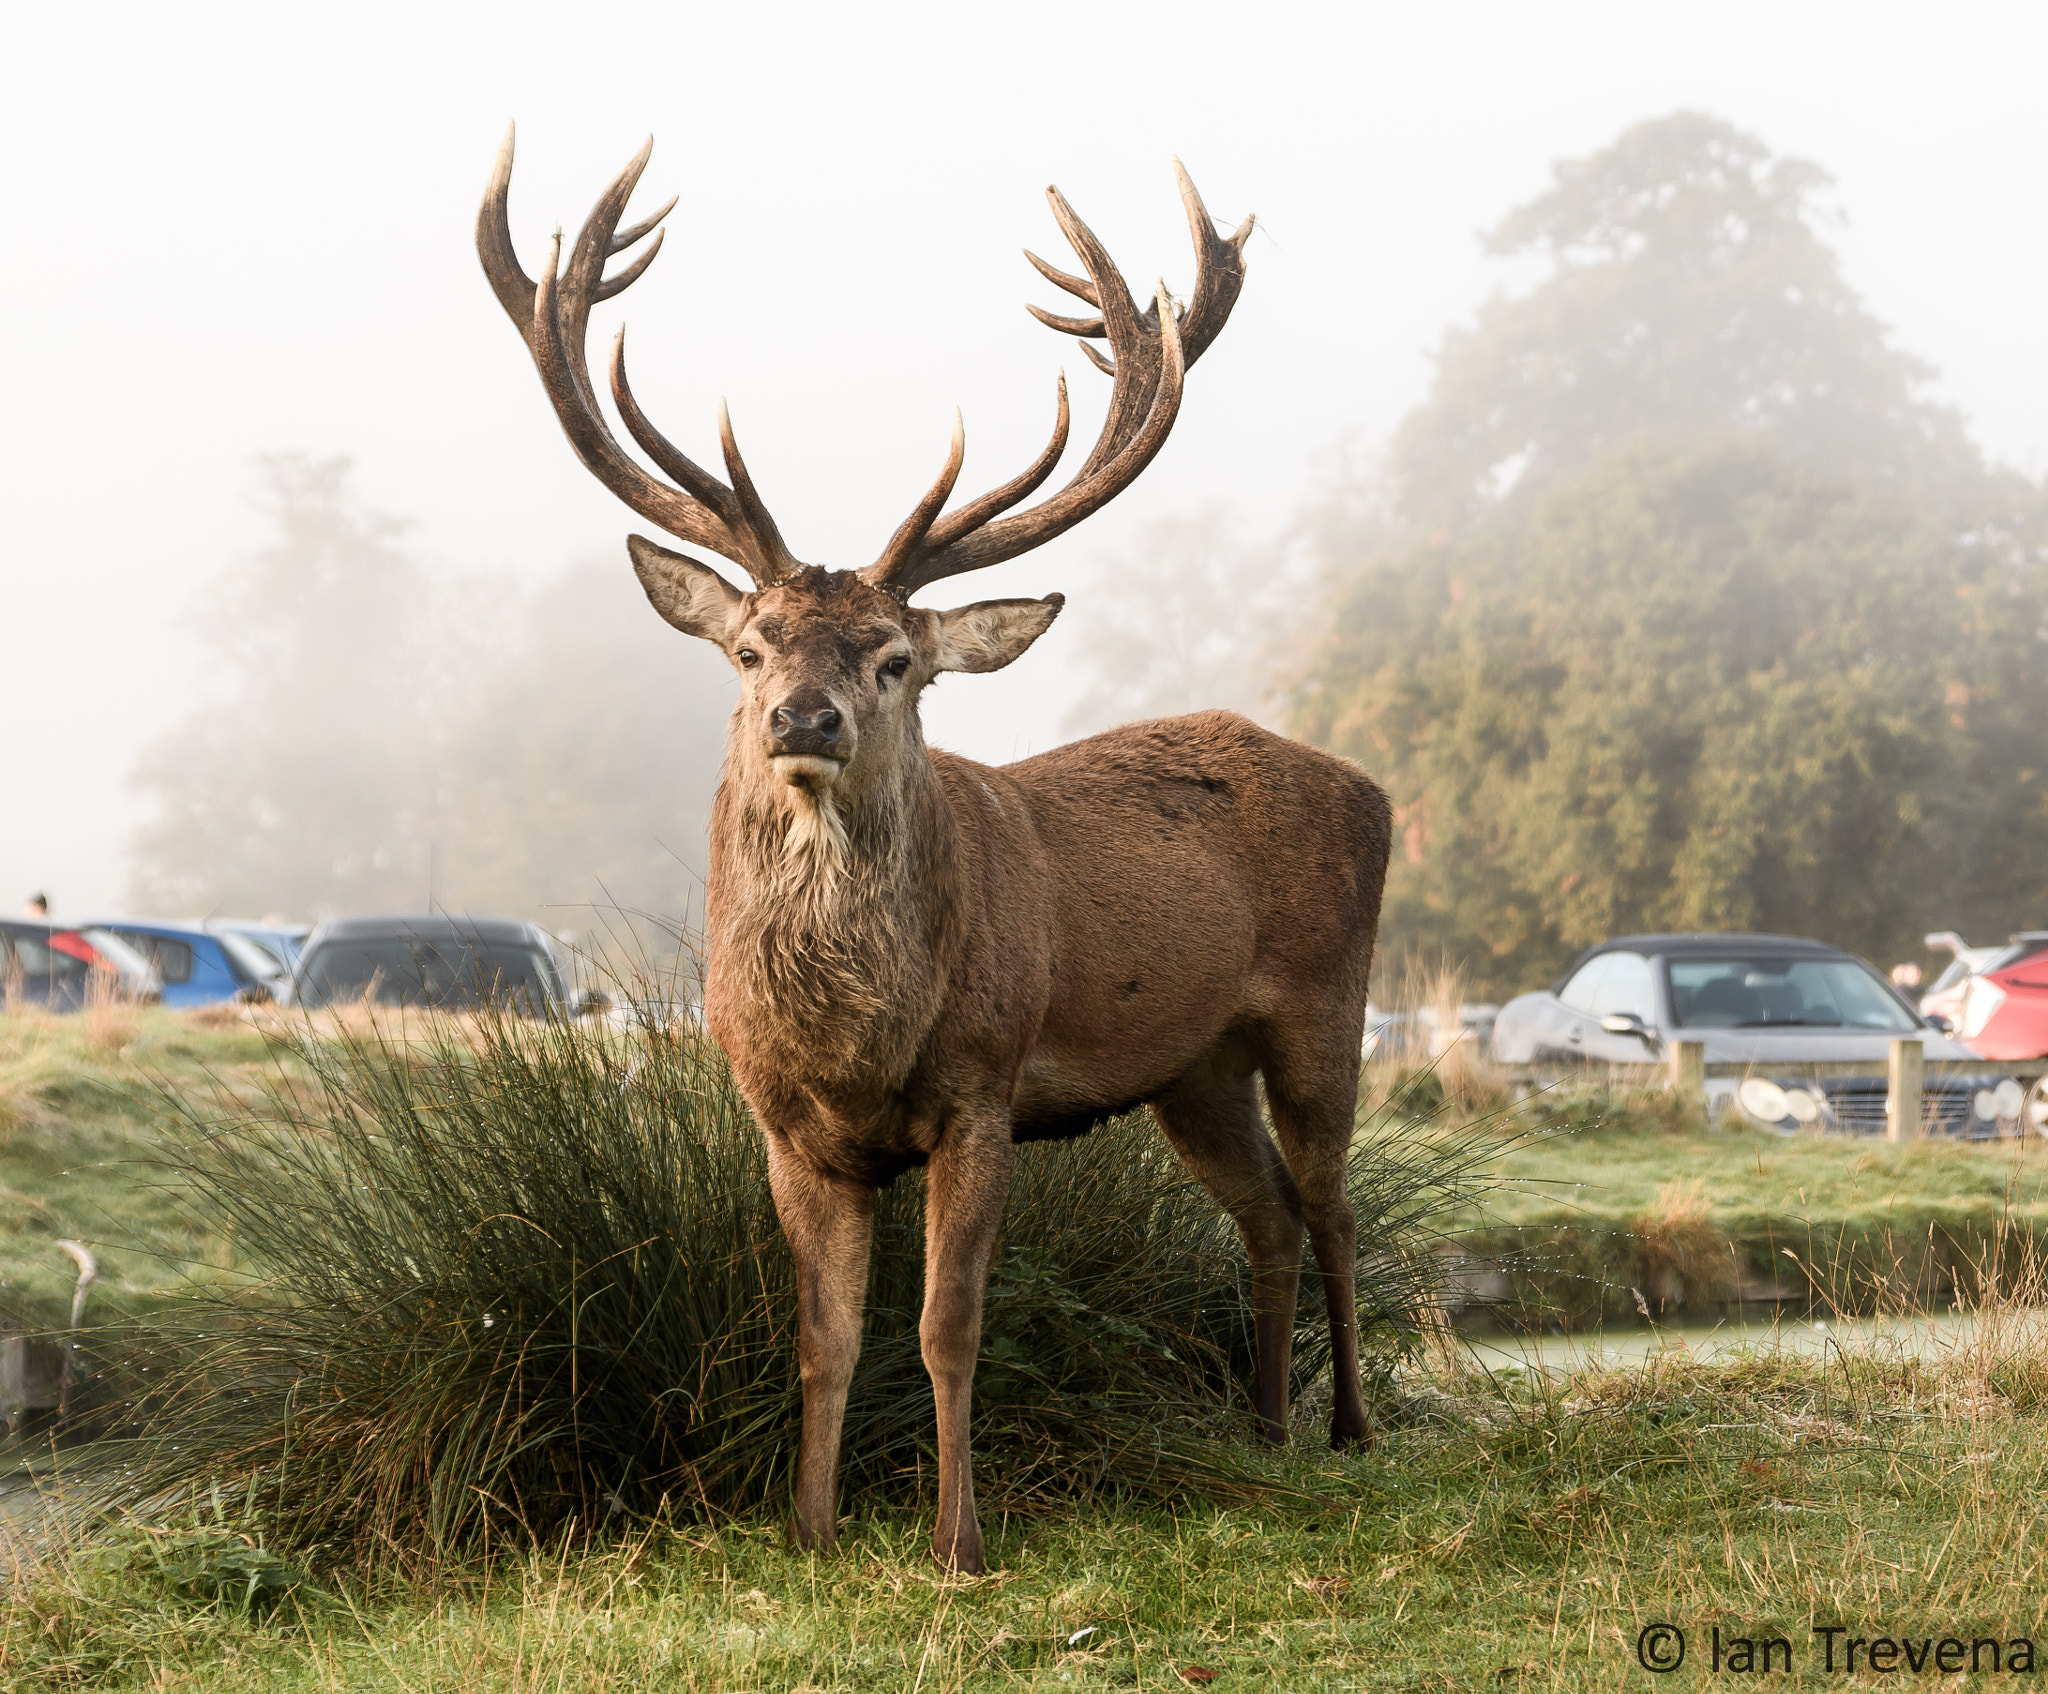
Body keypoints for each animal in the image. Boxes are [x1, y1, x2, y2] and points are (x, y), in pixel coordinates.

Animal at [478, 128, 1392, 1574]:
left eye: (895, 659)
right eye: (750, 649)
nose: (805, 715)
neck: (860, 1039)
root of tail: (1370, 786)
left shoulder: (982, 1084)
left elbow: (946, 1324)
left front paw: (960, 1541)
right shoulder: (787, 1126)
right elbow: (820, 1333)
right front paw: (808, 1527)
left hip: (1327, 998)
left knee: (1339, 1204)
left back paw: (1350, 1425)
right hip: (1189, 1063)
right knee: (1266, 1209)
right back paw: (1263, 1426)